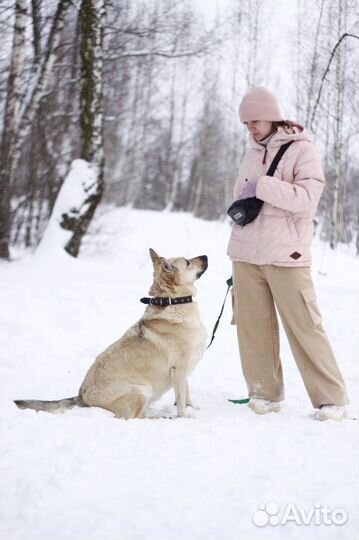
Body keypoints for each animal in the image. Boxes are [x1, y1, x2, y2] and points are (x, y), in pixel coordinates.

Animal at [15, 251, 210, 420]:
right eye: (187, 262)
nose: (206, 256)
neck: (173, 302)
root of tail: (81, 397)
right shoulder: (179, 368)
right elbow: (181, 399)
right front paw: (185, 417)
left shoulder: (185, 371)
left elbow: (186, 395)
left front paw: (193, 408)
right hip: (141, 391)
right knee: (135, 418)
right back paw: (161, 418)